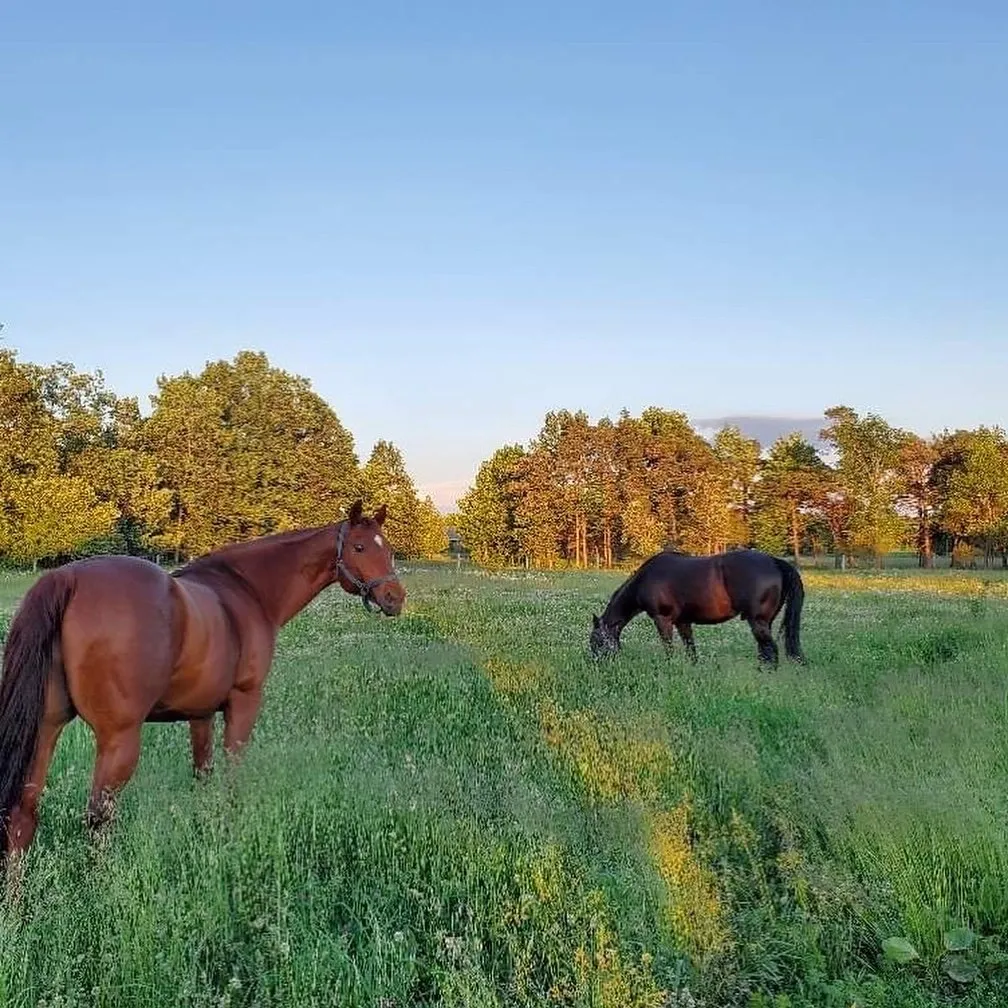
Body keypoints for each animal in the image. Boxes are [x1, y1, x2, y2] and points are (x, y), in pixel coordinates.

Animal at [0, 495, 401, 858]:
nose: (395, 598)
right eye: (360, 547)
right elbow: (231, 774)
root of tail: (67, 576)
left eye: (389, 548)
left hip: (45, 728)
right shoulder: (244, 702)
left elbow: (203, 776)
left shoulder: (201, 714)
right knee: (98, 817)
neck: (248, 590)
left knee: (23, 814)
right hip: (118, 739)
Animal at [588, 548, 806, 665]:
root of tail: (774, 561)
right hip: (764, 623)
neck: (646, 579)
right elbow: (690, 649)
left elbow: (668, 647)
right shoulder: (683, 622)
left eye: (596, 641)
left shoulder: (662, 619)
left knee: (770, 651)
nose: (596, 664)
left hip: (758, 622)